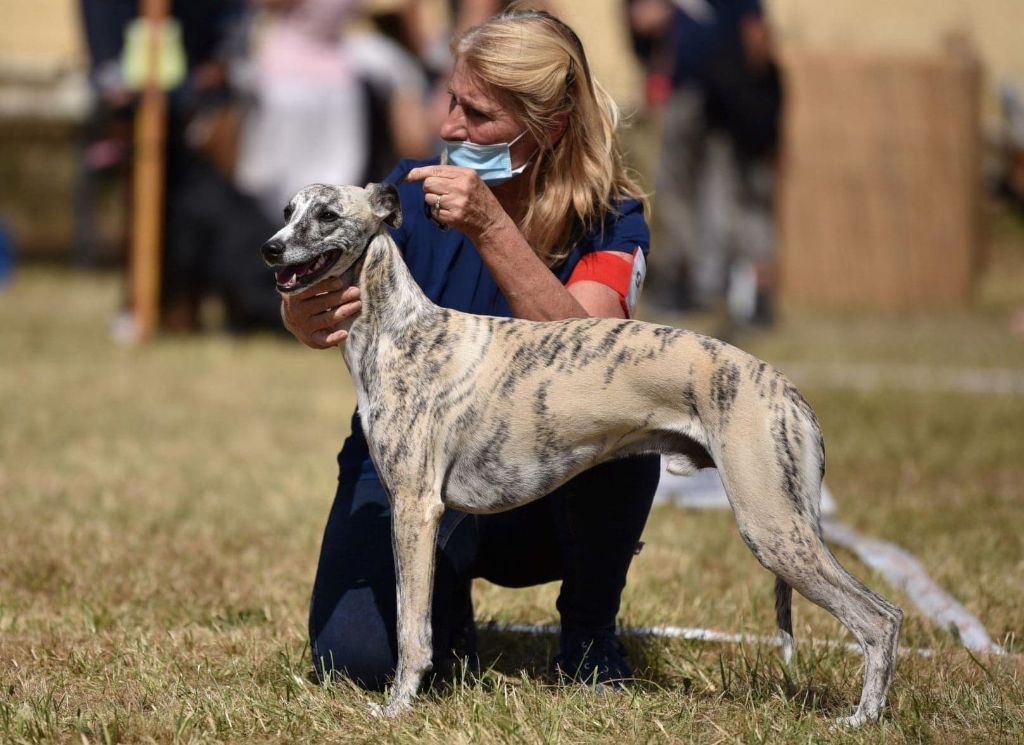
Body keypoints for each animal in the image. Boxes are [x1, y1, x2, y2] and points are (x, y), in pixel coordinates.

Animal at [260, 183, 901, 724]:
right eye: (288, 210)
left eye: (327, 215)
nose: (270, 250)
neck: (402, 332)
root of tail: (789, 392)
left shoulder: (415, 509)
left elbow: (411, 628)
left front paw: (396, 709)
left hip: (773, 527)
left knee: (881, 618)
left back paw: (861, 719)